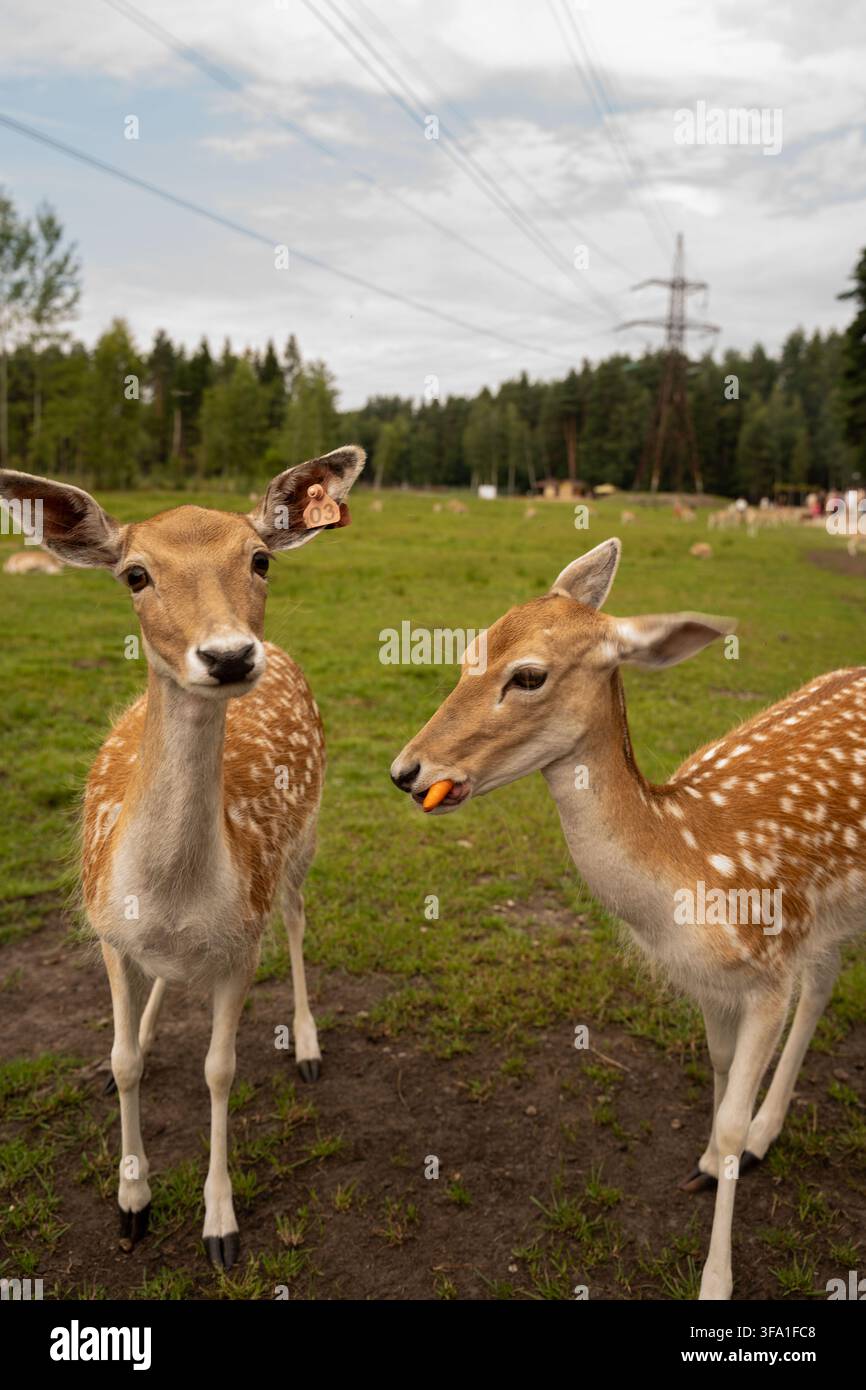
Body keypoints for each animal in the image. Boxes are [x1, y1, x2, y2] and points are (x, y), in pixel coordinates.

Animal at [0, 446, 364, 1271]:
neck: (175, 893)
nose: (228, 655)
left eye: (260, 558)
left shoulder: (242, 942)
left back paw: (308, 1045)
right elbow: (125, 1063)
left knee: (299, 919)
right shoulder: (107, 926)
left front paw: (219, 1225)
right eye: (135, 573)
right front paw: (131, 1202)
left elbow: (219, 1070)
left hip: (303, 843)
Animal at [390, 537, 865, 1300]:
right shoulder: (715, 984)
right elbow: (719, 1086)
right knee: (828, 978)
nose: (407, 770)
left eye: (528, 676)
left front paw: (716, 1279)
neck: (689, 868)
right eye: (466, 652)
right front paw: (705, 1165)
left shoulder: (770, 965)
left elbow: (731, 1121)